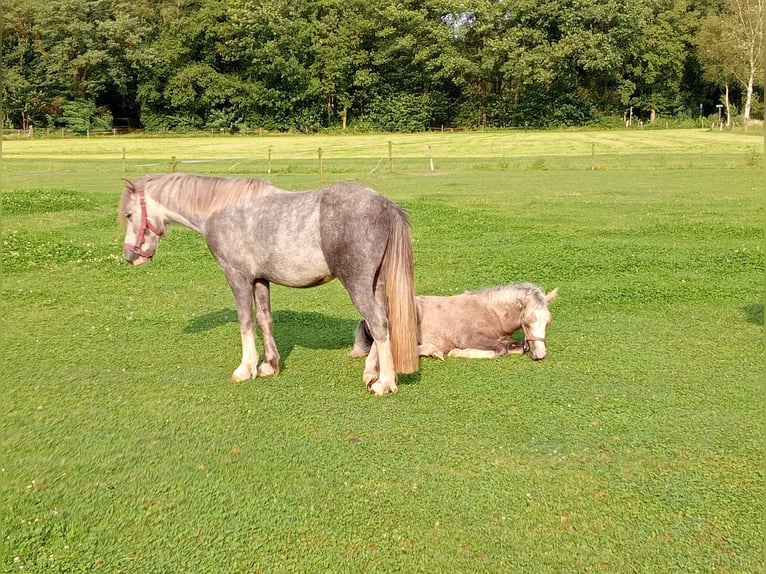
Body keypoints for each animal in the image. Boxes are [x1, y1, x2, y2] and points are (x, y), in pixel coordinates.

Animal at [121, 173, 420, 394]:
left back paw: (385, 383)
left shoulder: (237, 277)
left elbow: (245, 321)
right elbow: (264, 319)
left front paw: (245, 368)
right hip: (375, 284)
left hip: (357, 283)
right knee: (381, 321)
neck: (220, 210)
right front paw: (269, 365)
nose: (129, 256)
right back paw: (372, 373)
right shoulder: (259, 280)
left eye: (128, 215)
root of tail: (385, 204)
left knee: (378, 323)